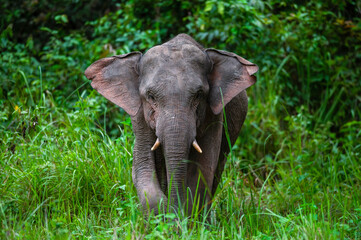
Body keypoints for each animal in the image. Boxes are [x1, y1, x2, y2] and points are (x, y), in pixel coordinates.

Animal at [83, 33, 258, 216]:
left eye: (199, 95)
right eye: (151, 96)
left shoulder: (214, 113)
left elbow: (203, 168)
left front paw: (184, 218)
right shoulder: (139, 114)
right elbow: (143, 165)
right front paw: (167, 215)